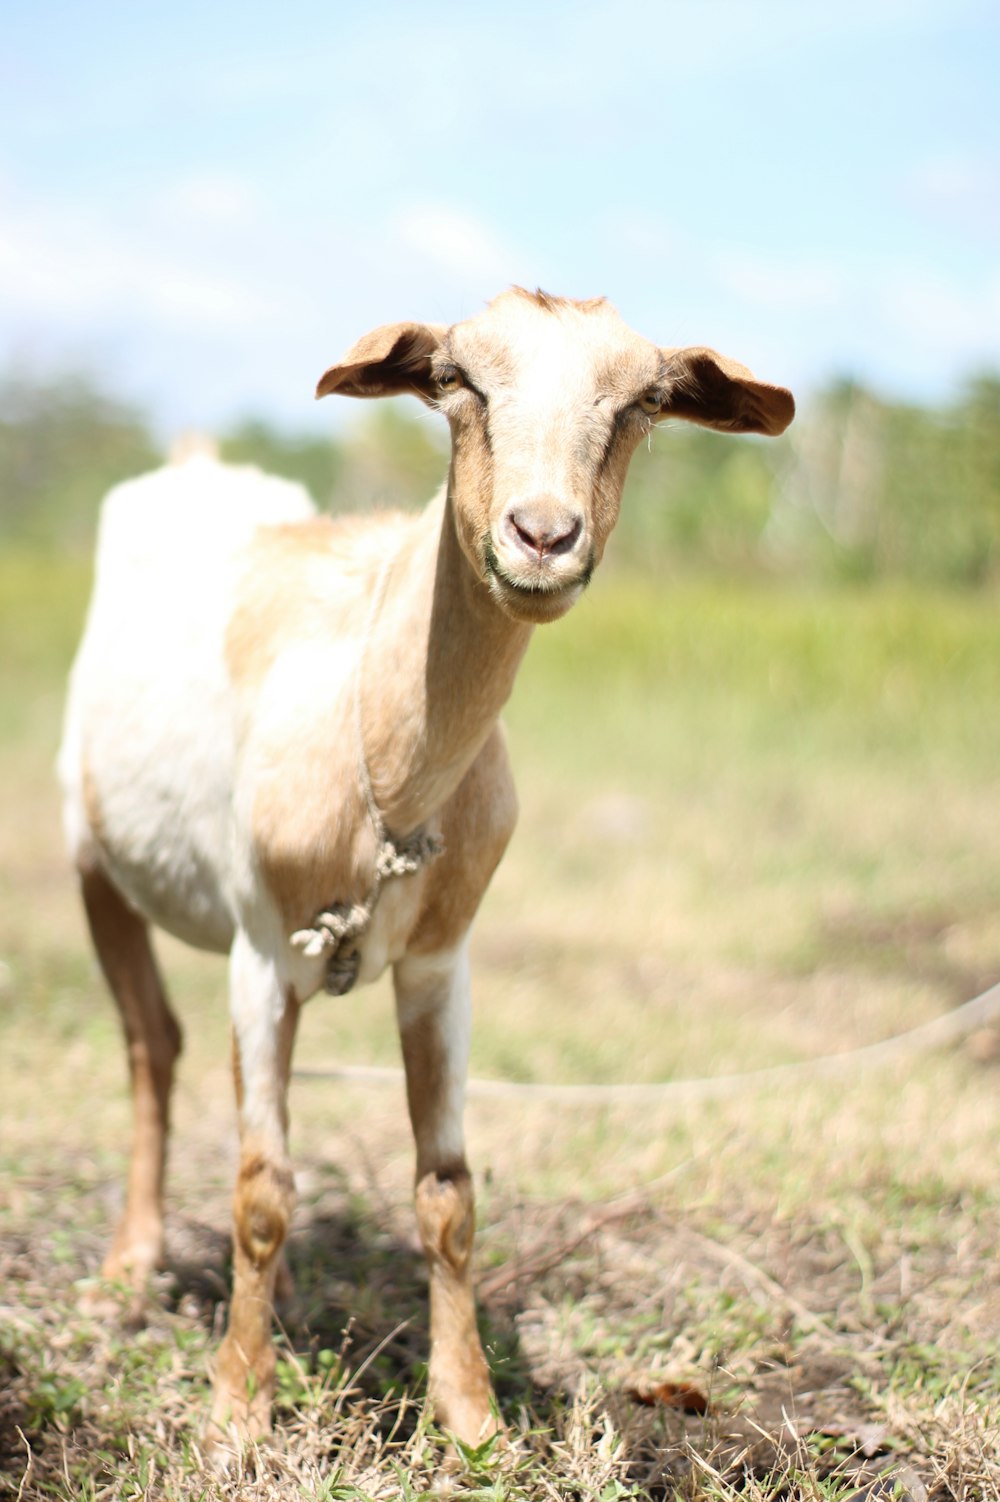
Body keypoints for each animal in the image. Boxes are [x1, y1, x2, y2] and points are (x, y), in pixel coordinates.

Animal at [60, 289, 792, 1453]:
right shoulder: (260, 949)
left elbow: (448, 1190)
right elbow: (261, 1189)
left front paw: (472, 1411)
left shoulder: (445, 958)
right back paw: (132, 1264)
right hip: (92, 849)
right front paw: (238, 1409)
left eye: (642, 401)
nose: (542, 535)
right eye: (457, 380)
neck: (386, 765)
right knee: (149, 1043)